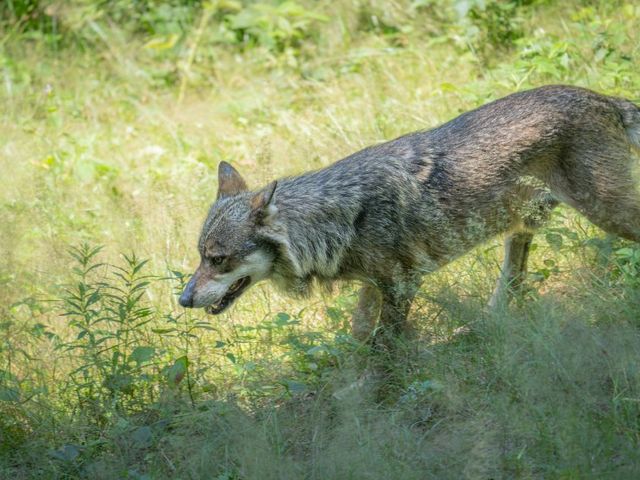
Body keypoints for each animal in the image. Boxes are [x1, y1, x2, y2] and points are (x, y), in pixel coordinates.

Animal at [179, 85, 640, 344]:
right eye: (200, 256)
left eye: (218, 259)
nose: (182, 299)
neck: (338, 222)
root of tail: (604, 99)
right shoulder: (374, 287)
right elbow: (359, 336)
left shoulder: (401, 285)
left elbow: (385, 348)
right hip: (520, 227)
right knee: (511, 286)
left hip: (608, 212)